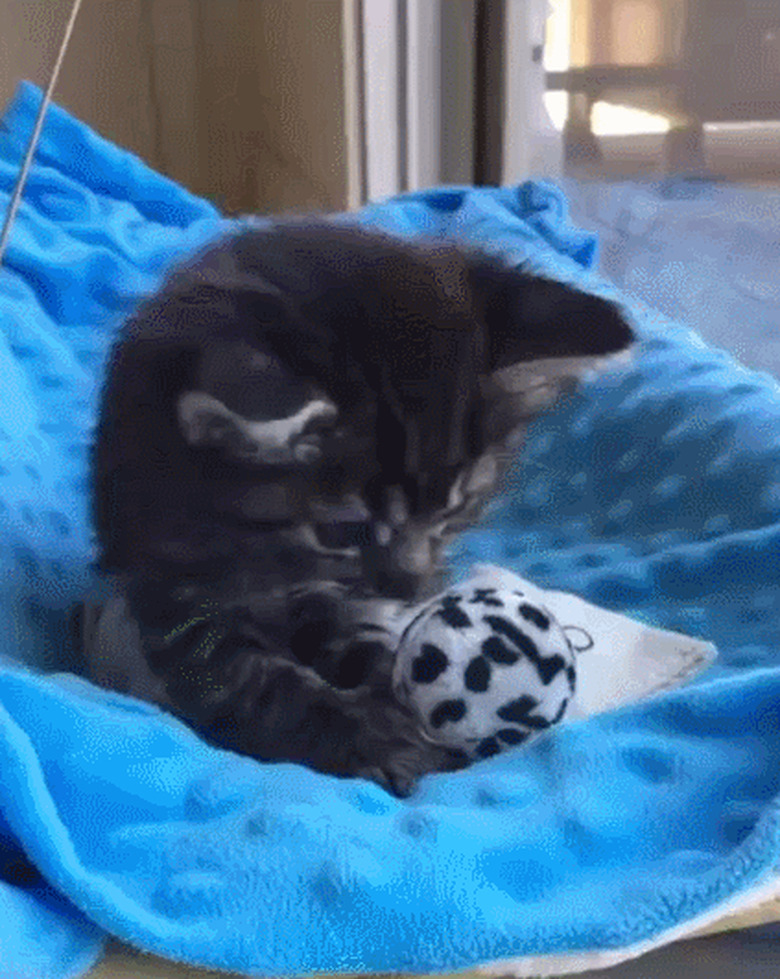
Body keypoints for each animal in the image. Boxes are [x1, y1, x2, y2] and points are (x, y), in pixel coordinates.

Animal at [87, 216, 632, 796]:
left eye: (458, 509)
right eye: (344, 533)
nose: (413, 591)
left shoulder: (337, 600)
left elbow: (360, 643)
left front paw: (394, 698)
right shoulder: (172, 580)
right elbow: (251, 679)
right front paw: (376, 743)